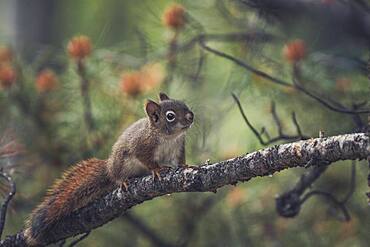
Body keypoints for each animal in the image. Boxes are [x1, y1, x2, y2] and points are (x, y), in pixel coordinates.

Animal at [23, 92, 194, 245]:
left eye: (183, 104)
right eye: (170, 116)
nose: (191, 116)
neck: (168, 137)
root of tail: (108, 168)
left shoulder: (178, 148)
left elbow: (179, 161)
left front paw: (185, 166)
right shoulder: (142, 145)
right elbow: (146, 159)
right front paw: (156, 169)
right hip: (119, 164)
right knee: (117, 176)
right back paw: (123, 181)